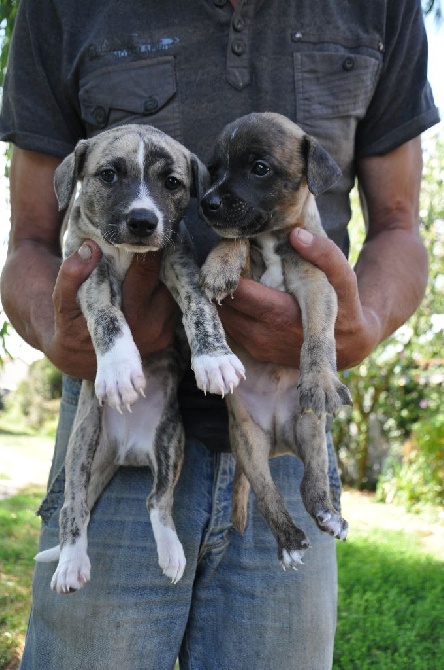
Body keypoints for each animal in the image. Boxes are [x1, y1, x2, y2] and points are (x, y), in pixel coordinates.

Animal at [36, 124, 245, 592]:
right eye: (109, 175)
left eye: (172, 183)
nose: (143, 221)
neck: (129, 255)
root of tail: (124, 452)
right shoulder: (87, 266)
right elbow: (107, 316)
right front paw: (119, 370)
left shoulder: (179, 259)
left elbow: (200, 308)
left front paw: (214, 359)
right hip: (82, 447)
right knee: (73, 508)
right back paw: (70, 563)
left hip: (170, 442)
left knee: (157, 500)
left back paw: (171, 553)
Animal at [200, 113, 350, 568]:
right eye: (214, 169)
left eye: (259, 168)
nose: (207, 202)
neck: (271, 239)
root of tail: (279, 444)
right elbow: (232, 236)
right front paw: (221, 263)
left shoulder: (317, 284)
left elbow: (318, 337)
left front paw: (320, 379)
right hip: (248, 441)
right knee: (268, 495)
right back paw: (289, 540)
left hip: (311, 429)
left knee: (309, 484)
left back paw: (327, 514)